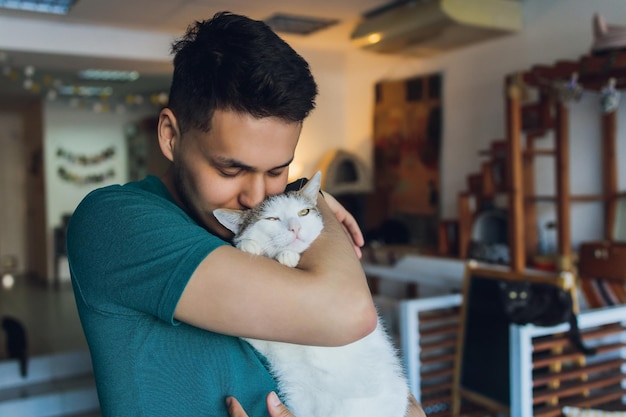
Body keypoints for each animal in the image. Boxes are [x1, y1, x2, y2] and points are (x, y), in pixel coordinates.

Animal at [213, 171, 410, 416]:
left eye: (303, 212)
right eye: (271, 219)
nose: (295, 228)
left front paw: (287, 256)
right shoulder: (268, 341)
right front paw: (248, 245)